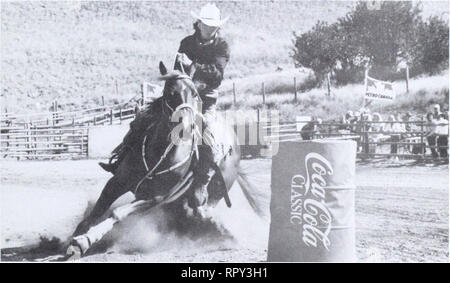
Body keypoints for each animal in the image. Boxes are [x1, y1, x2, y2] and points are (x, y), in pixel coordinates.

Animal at [67, 61, 264, 260]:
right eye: (170, 93)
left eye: (195, 94)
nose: (185, 127)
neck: (159, 152)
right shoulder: (117, 182)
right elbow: (97, 211)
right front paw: (76, 240)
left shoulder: (155, 198)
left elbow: (116, 213)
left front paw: (84, 241)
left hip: (214, 193)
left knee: (201, 209)